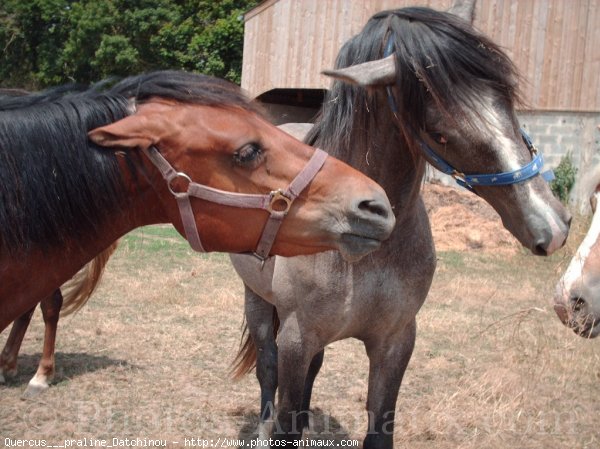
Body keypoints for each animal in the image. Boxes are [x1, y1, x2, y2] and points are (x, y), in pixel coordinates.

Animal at [230, 7, 572, 448]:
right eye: (439, 132)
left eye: (507, 103)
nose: (552, 225)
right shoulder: (296, 337)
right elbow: (283, 412)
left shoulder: (395, 341)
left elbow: (378, 427)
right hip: (256, 299)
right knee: (266, 369)